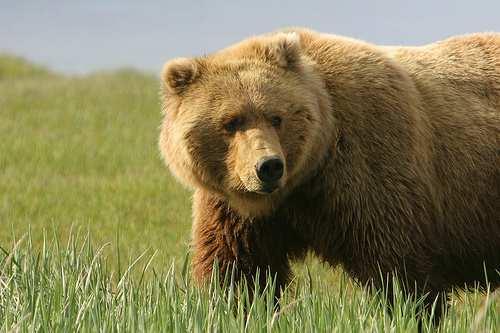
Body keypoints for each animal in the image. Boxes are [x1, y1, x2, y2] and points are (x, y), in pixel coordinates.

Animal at [159, 27, 500, 322]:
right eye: (231, 122)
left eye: (276, 117)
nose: (268, 166)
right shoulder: (235, 208)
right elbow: (239, 269)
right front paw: (237, 309)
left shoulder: (372, 167)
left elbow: (400, 272)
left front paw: (411, 314)